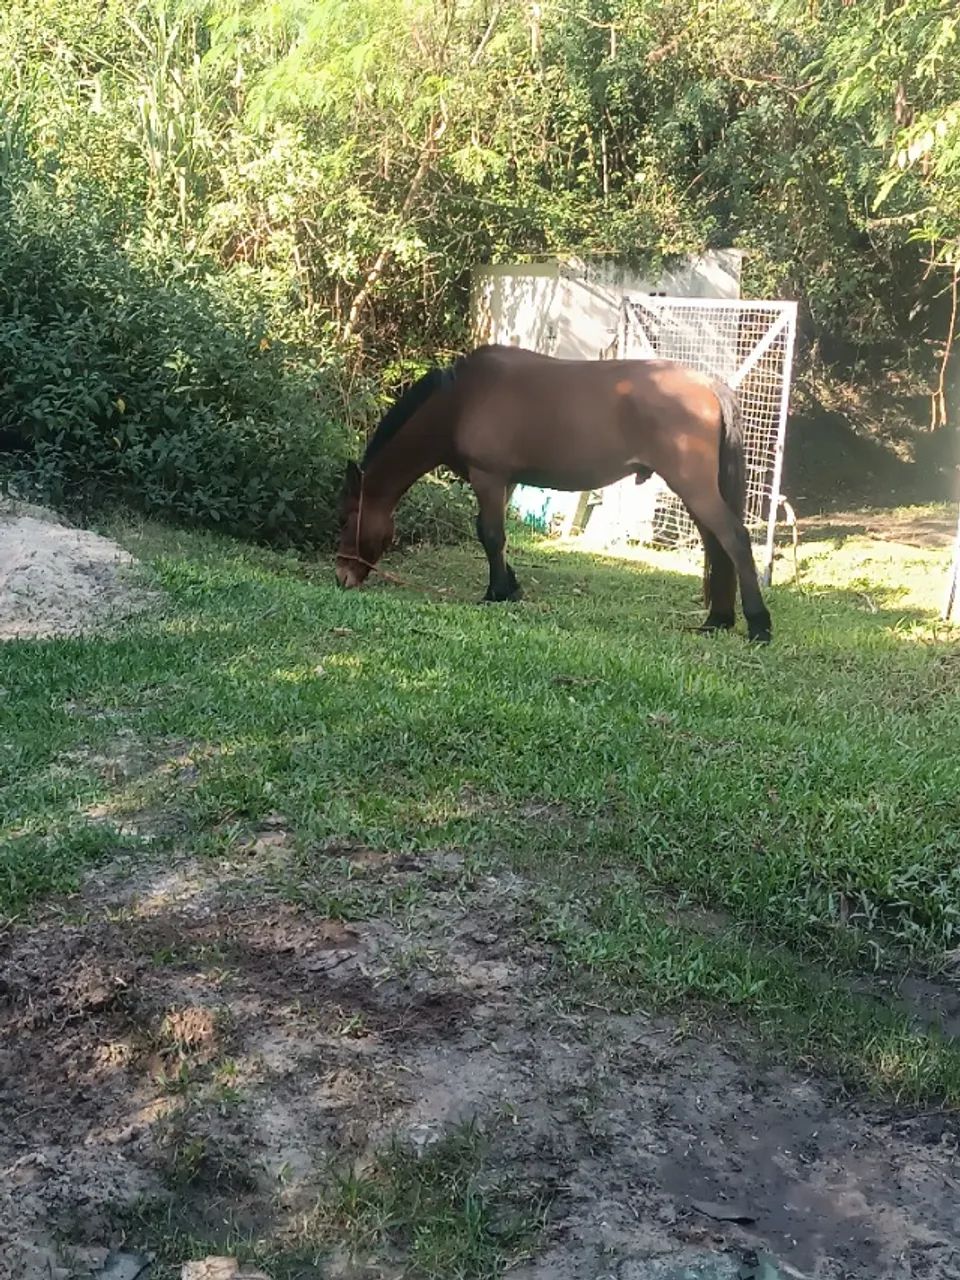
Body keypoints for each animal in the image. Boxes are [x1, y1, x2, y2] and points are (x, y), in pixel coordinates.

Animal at [334, 344, 772, 643]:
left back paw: (758, 624)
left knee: (734, 538)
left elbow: (489, 534)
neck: (461, 401)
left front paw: (496, 593)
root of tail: (707, 384)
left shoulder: (488, 477)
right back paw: (718, 619)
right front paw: (509, 587)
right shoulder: (506, 481)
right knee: (716, 544)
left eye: (344, 519)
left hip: (693, 487)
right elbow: (495, 537)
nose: (341, 576)